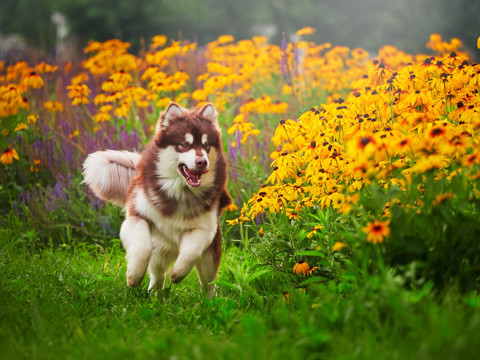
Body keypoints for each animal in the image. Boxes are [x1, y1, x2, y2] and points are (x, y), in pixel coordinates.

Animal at [83, 102, 232, 298]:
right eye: (184, 144)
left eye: (206, 145)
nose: (202, 162)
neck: (179, 192)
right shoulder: (136, 217)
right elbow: (142, 247)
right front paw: (134, 275)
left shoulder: (205, 228)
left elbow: (191, 252)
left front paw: (178, 273)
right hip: (159, 251)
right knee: (158, 275)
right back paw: (154, 295)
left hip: (209, 257)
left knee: (208, 282)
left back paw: (210, 301)